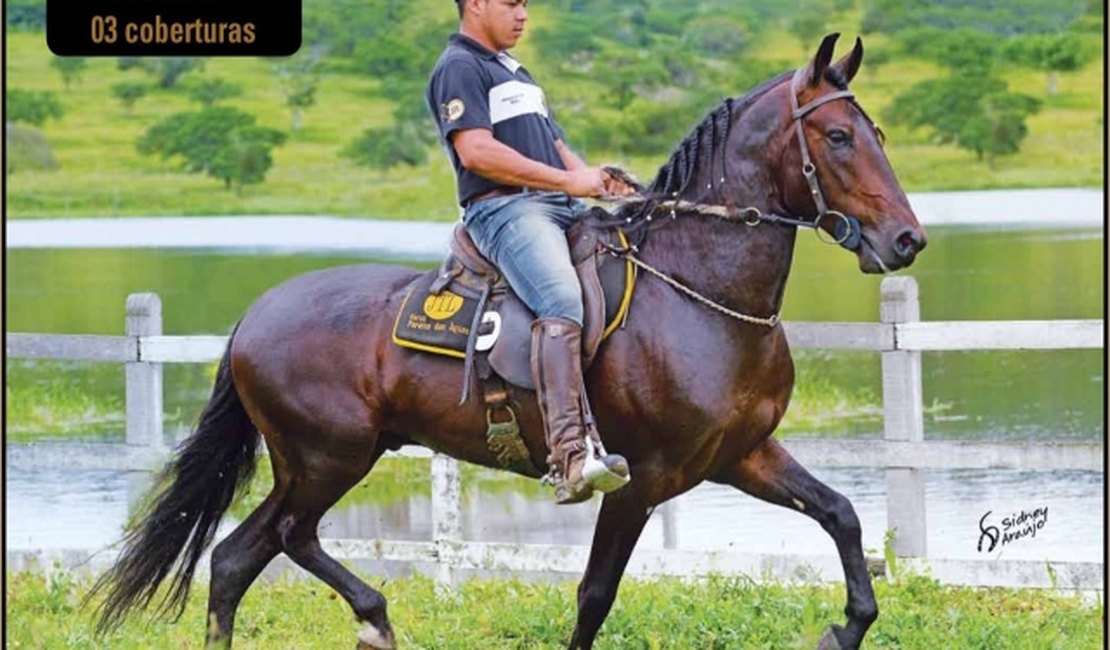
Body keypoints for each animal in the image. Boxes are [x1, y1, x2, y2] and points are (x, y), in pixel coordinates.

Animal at [91, 35, 927, 647]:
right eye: (840, 136)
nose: (906, 240)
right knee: (288, 538)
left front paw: (845, 627)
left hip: (318, 460)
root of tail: (254, 316)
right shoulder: (642, 481)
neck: (699, 291)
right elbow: (595, 594)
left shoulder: (742, 455)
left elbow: (843, 516)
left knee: (237, 559)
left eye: (880, 134)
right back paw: (375, 616)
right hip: (328, 458)